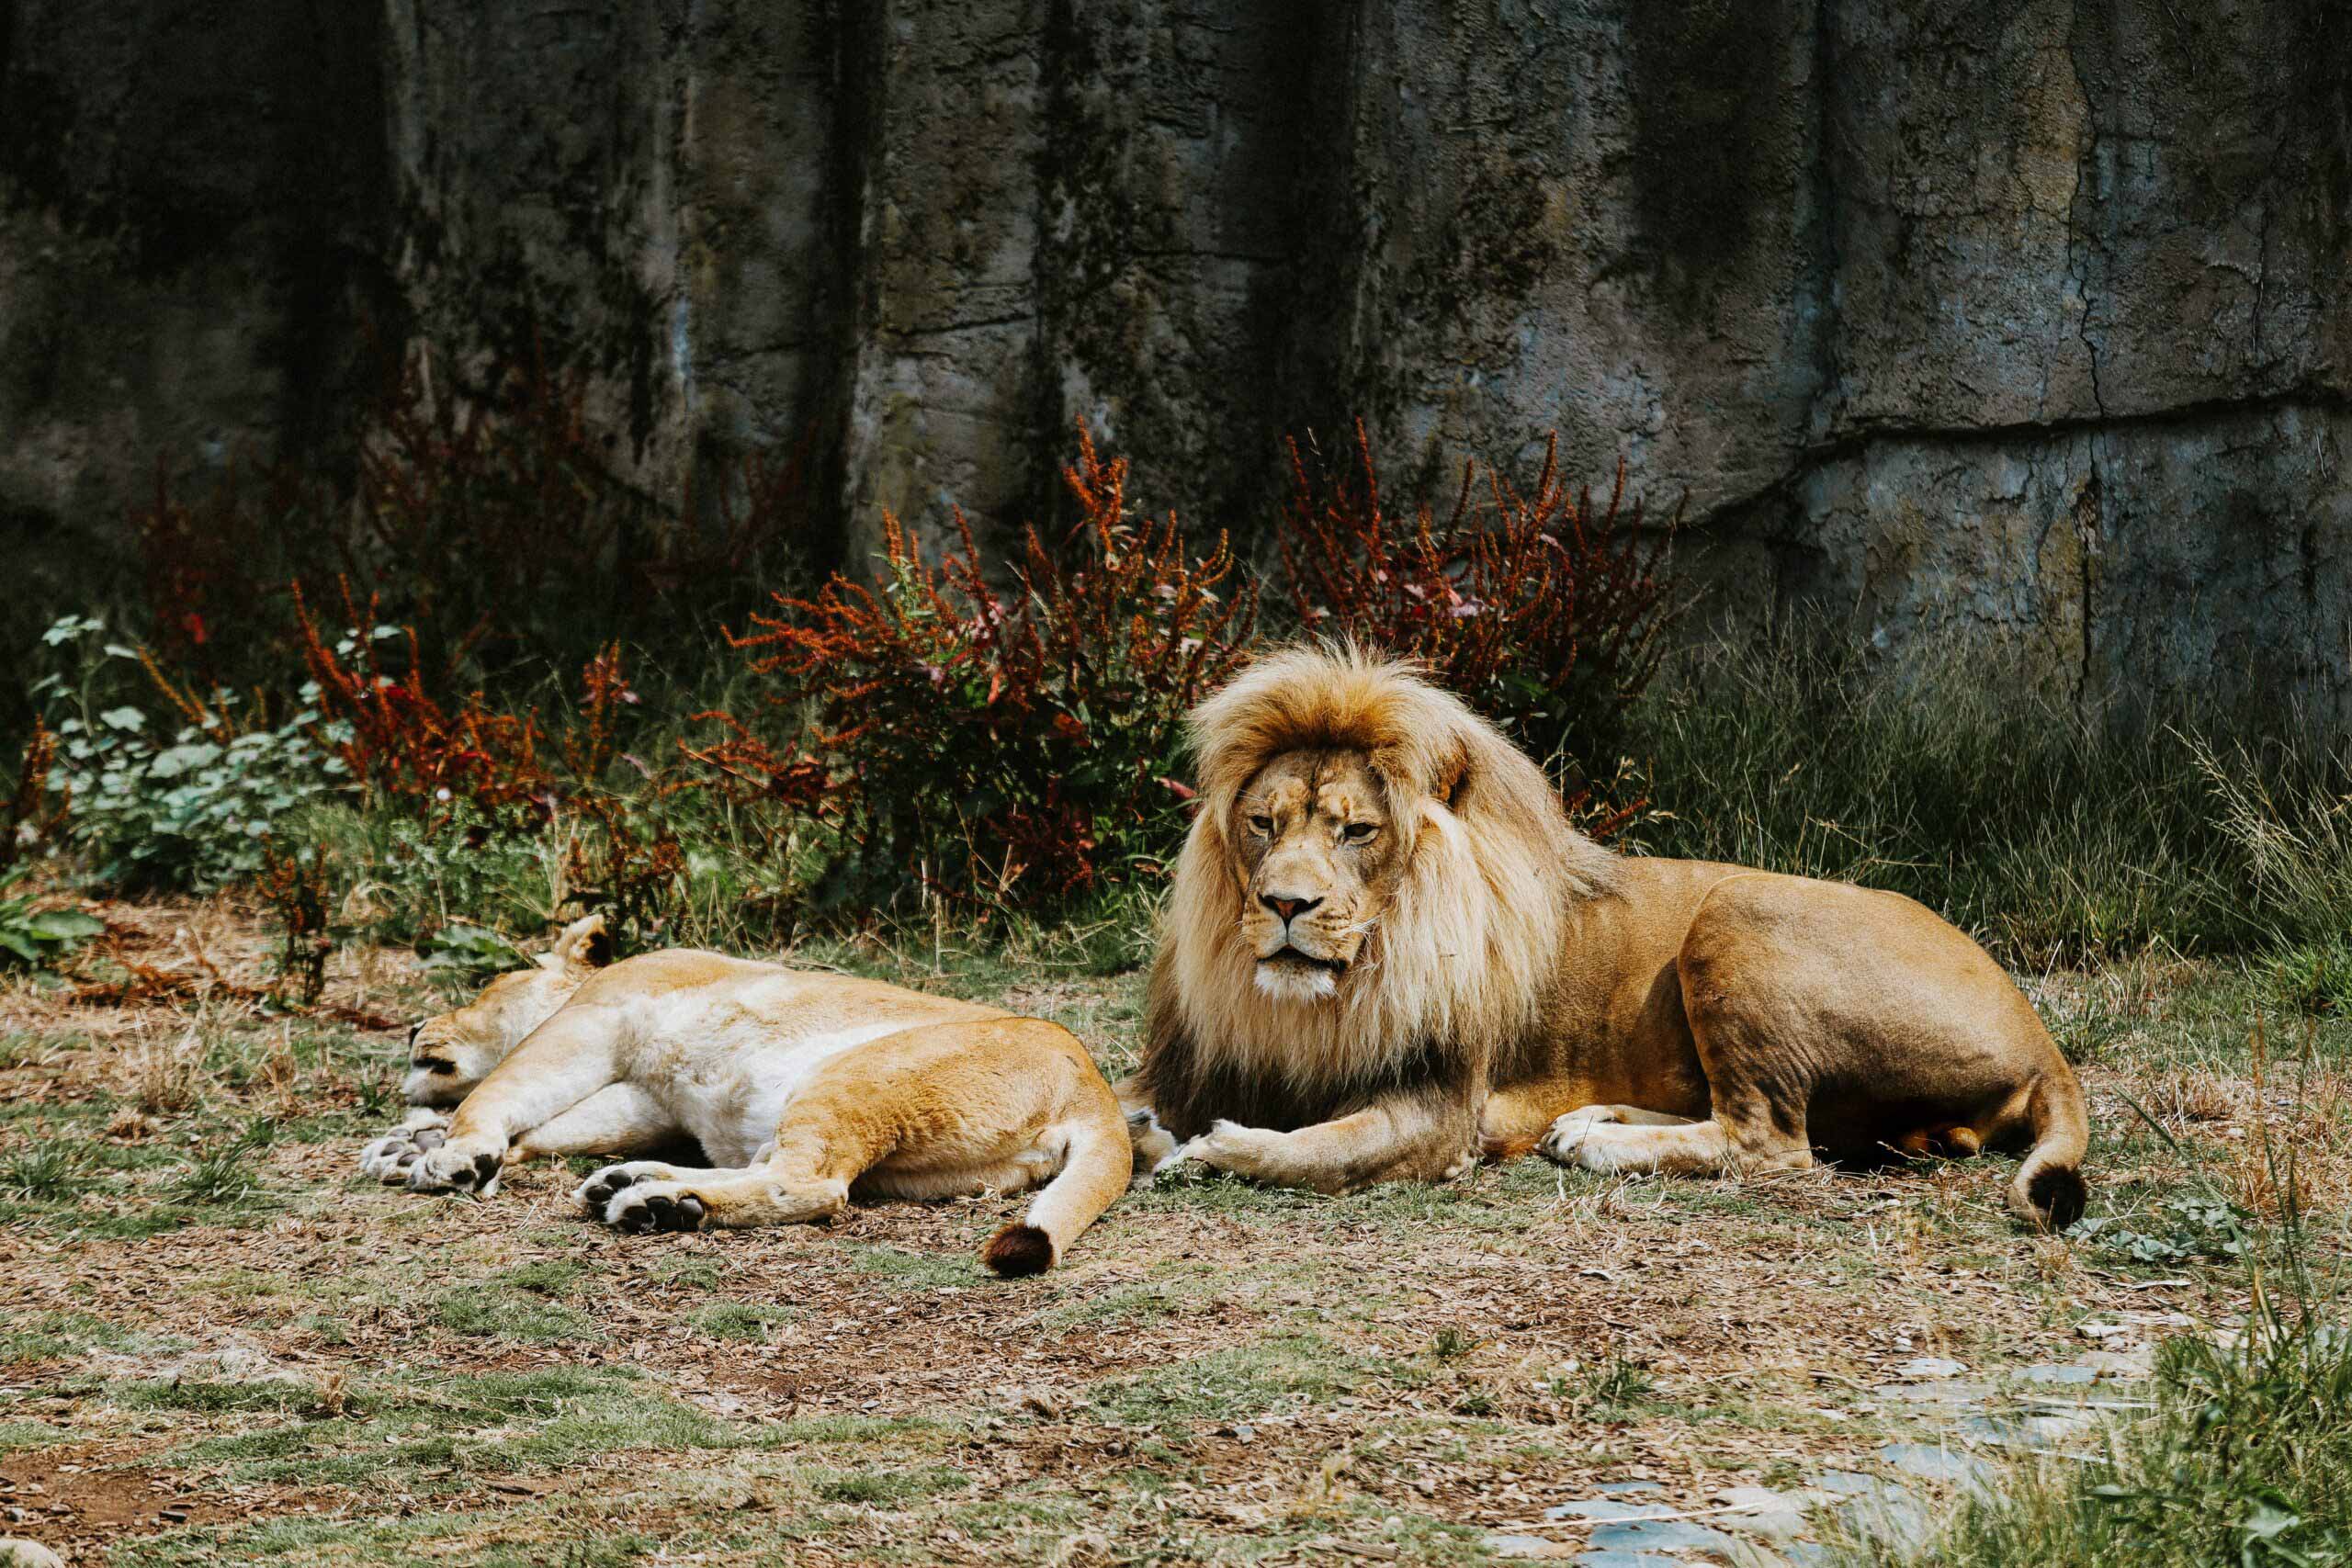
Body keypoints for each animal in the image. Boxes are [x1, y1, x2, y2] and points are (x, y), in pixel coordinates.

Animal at [357, 921, 1138, 1279]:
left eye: (484, 986)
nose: (412, 1028)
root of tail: (1096, 1088)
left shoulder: (592, 1023)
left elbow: (501, 1090)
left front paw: (455, 1154)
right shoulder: (644, 1096)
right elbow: (542, 1127)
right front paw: (409, 1146)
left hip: (854, 1075)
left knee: (812, 1186)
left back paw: (655, 1206)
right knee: (773, 1169)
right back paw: (640, 1188)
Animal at [1133, 644, 2098, 1232]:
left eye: (1356, 831)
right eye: (1264, 822)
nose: (1285, 903)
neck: (1324, 997)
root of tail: (2042, 1037)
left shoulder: (1440, 1107)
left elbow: (1316, 1150)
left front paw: (1213, 1150)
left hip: (1738, 911)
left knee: (1770, 1144)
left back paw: (1602, 1142)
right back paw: (1589, 1120)